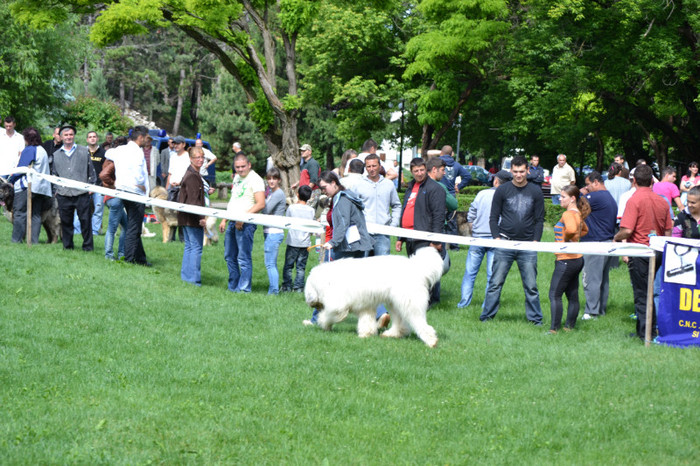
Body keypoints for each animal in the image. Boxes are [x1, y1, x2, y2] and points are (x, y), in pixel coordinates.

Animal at [302, 246, 442, 348]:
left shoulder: (338, 305)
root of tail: (417, 267)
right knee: (399, 322)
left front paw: (323, 324)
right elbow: (367, 321)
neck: (325, 281)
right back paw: (392, 334)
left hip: (409, 302)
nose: (313, 305)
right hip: (395, 303)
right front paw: (366, 334)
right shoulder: (366, 305)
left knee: (420, 322)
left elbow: (329, 315)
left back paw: (431, 341)